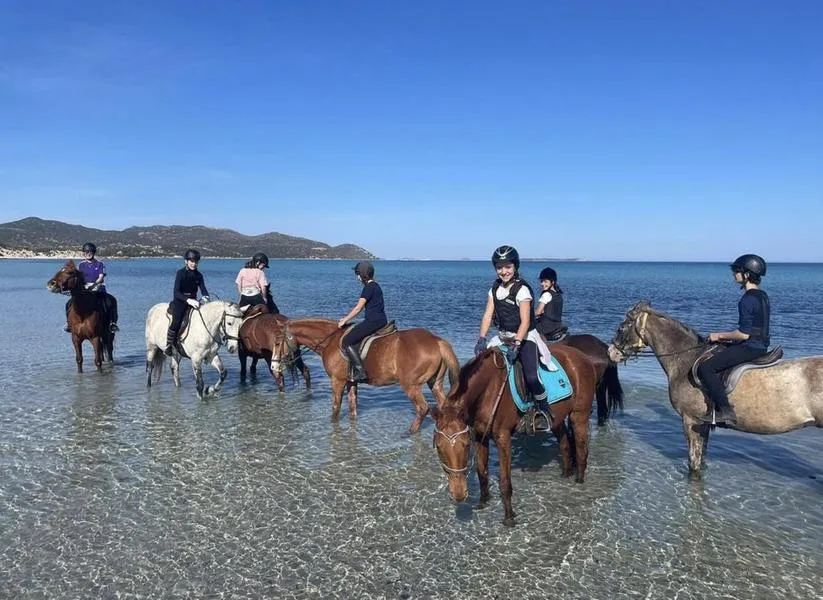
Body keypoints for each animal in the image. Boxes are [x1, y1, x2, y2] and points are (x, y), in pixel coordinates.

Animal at [269, 318, 460, 434]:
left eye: (278, 343)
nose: (273, 366)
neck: (329, 341)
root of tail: (437, 341)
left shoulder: (337, 381)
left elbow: (335, 408)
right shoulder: (351, 382)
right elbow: (352, 407)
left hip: (411, 385)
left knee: (422, 408)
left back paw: (411, 432)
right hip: (434, 383)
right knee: (444, 406)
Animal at [431, 345, 598, 526]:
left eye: (465, 445)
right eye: (438, 447)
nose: (459, 494)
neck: (488, 390)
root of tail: (583, 358)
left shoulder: (503, 438)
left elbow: (505, 481)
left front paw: (509, 517)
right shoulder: (480, 436)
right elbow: (482, 472)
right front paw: (483, 502)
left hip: (578, 416)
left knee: (581, 450)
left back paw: (579, 481)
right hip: (557, 420)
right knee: (565, 443)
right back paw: (566, 474)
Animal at [607, 301, 823, 477]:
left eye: (621, 327)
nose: (612, 352)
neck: (686, 359)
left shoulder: (691, 421)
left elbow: (694, 465)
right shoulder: (702, 426)